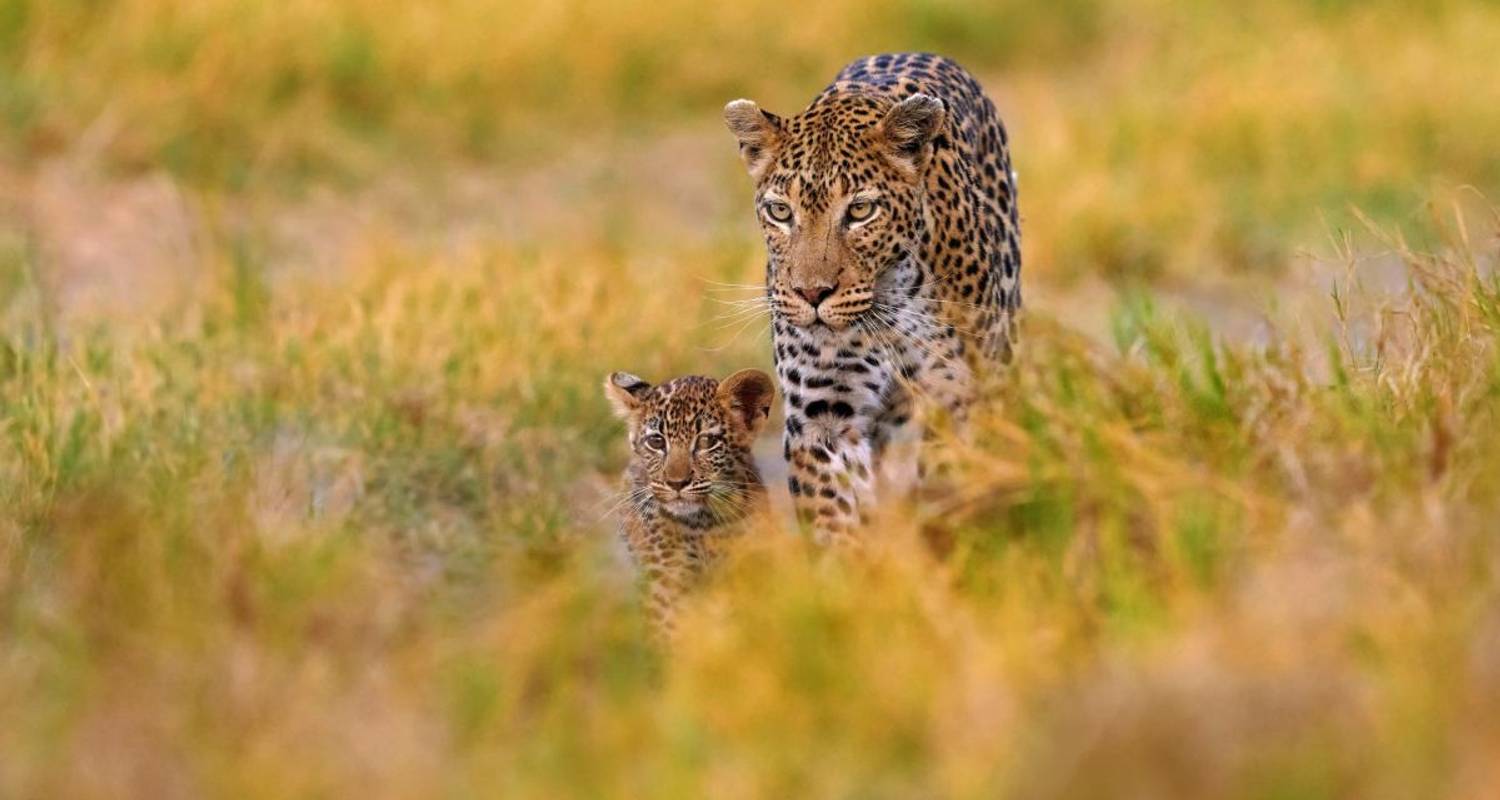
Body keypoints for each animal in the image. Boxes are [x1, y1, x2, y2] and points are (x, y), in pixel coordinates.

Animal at [723, 52, 1020, 546]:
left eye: (861, 211)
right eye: (781, 212)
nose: (812, 293)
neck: (889, 302)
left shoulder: (958, 397)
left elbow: (950, 480)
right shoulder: (825, 414)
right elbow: (834, 511)